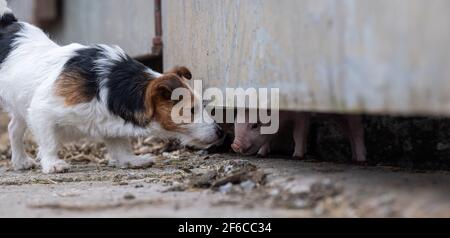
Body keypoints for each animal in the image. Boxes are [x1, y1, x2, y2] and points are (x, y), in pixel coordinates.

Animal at [0, 0, 224, 174]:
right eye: (190, 110)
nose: (221, 132)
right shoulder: (42, 111)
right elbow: (49, 142)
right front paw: (53, 164)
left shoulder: (108, 122)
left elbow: (120, 144)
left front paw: (131, 160)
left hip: (20, 106)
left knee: (13, 128)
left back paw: (20, 161)